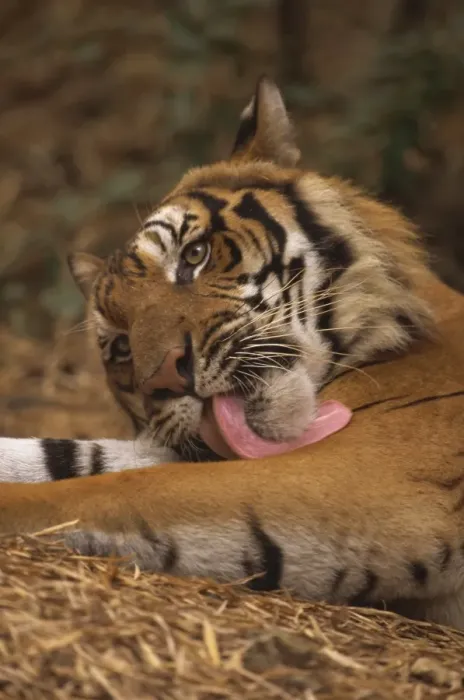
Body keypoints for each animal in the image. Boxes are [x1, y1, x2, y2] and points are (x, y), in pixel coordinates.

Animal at [0, 77, 463, 629]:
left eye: (194, 256)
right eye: (120, 347)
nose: (165, 379)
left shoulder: (363, 472)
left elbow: (108, 490)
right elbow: (69, 455)